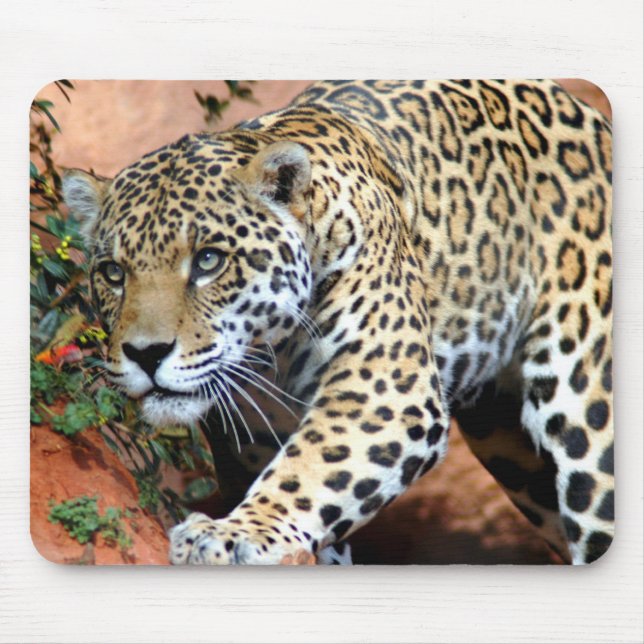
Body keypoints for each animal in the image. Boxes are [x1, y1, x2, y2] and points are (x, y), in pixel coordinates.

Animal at [62, 79, 613, 565]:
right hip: (513, 453)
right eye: (113, 273)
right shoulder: (252, 440)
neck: (271, 357)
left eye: (208, 261)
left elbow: (305, 470)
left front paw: (233, 533)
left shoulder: (384, 392)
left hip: (588, 414)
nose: (145, 354)